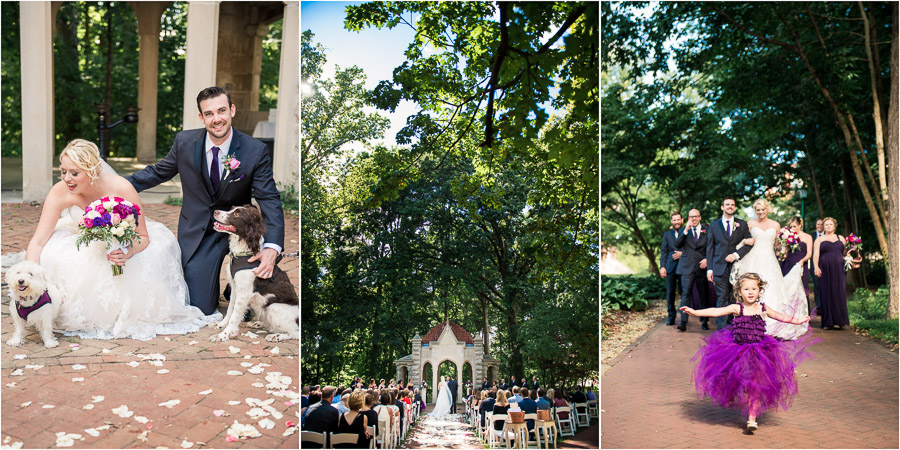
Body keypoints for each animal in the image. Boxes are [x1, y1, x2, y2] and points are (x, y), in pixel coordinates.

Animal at [209, 204, 298, 342]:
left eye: (237, 214)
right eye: (231, 208)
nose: (215, 211)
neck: (243, 252)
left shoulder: (244, 293)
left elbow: (235, 316)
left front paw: (223, 335)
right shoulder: (235, 287)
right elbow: (230, 309)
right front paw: (221, 325)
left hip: (274, 307)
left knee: (295, 333)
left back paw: (276, 336)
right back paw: (259, 323)